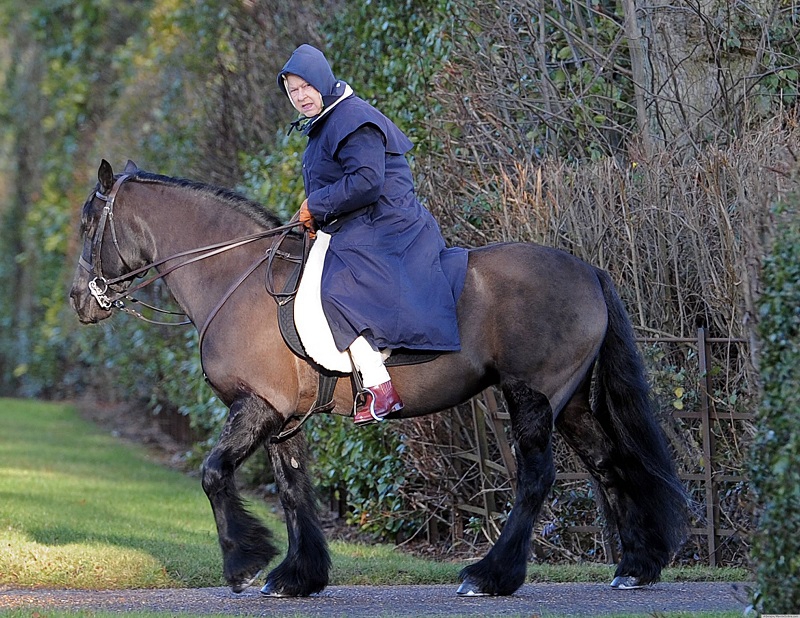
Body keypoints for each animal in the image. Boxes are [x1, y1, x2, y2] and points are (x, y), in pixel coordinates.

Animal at [70, 159, 688, 596]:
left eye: (87, 224)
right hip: (573, 401)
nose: (79, 300)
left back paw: (490, 576)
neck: (233, 275)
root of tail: (587, 269)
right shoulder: (283, 419)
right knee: (611, 464)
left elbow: (214, 474)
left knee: (536, 479)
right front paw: (298, 576)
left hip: (531, 396)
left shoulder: (256, 407)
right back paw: (636, 565)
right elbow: (293, 490)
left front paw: (244, 563)